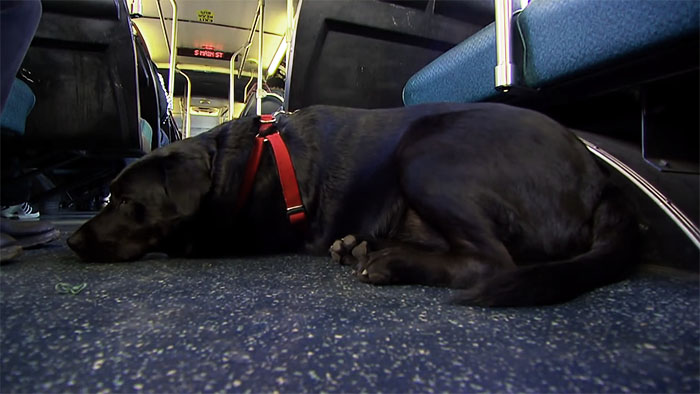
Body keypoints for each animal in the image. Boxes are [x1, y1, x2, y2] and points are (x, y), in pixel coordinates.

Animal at [67, 103, 640, 306]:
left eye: (125, 200)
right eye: (109, 196)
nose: (71, 240)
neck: (247, 161)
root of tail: (599, 177)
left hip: (429, 152)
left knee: (490, 262)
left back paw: (385, 261)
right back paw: (359, 247)